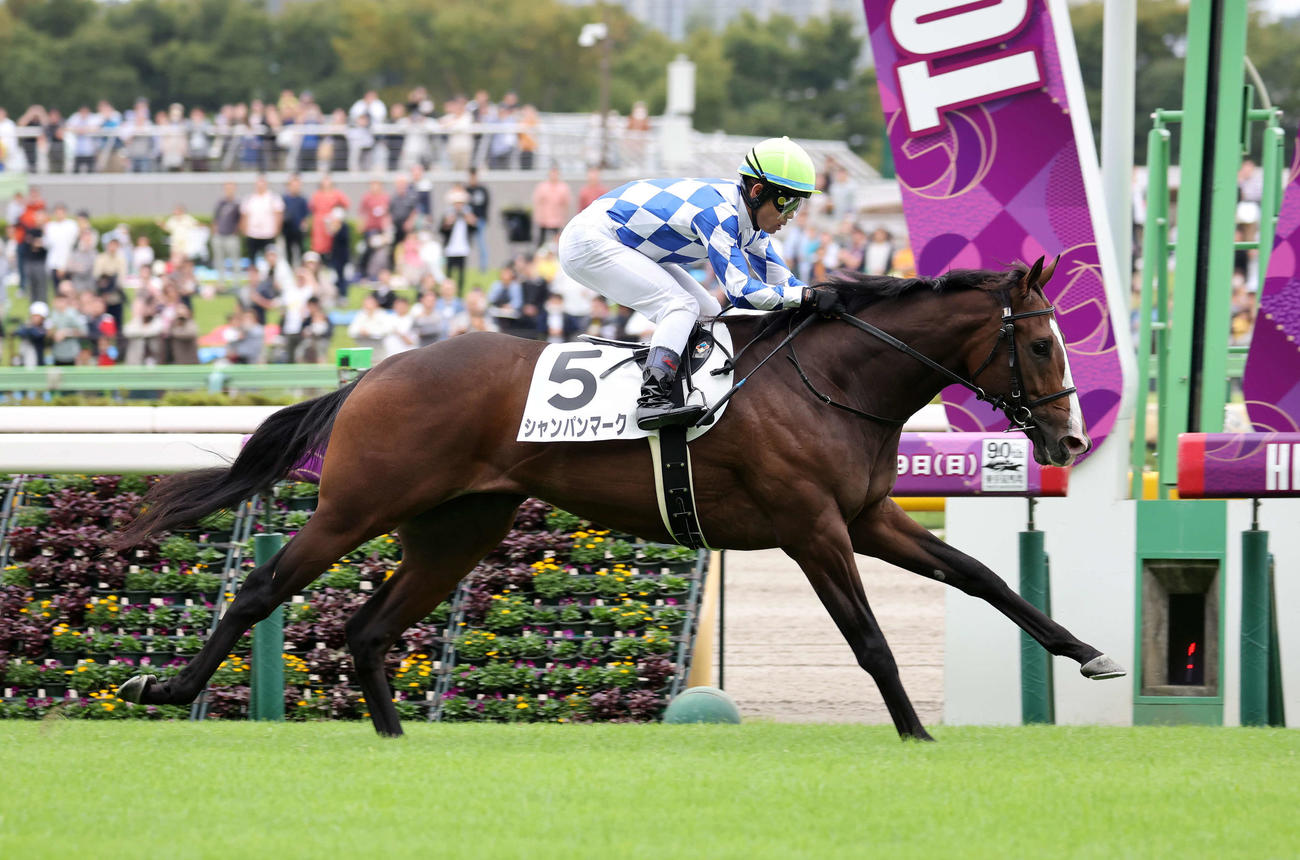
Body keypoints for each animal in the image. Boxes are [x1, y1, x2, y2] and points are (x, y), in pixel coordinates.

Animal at [115, 256, 1125, 740]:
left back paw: (396, 735)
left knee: (367, 629)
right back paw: (164, 686)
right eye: (1044, 346)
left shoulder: (869, 518)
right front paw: (916, 733)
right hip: (355, 506)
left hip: (457, 529)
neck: (835, 381)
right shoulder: (812, 528)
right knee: (263, 589)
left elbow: (983, 577)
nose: (1070, 442)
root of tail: (376, 372)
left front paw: (1089, 654)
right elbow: (870, 639)